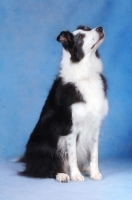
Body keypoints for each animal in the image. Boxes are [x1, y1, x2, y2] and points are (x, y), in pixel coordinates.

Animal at [19, 25, 108, 182]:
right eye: (80, 37)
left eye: (88, 28)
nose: (100, 28)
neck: (86, 74)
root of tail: (28, 159)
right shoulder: (68, 127)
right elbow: (72, 155)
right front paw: (76, 175)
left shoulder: (94, 125)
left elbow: (94, 154)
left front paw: (94, 172)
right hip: (45, 144)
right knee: (43, 168)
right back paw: (61, 175)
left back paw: (84, 167)